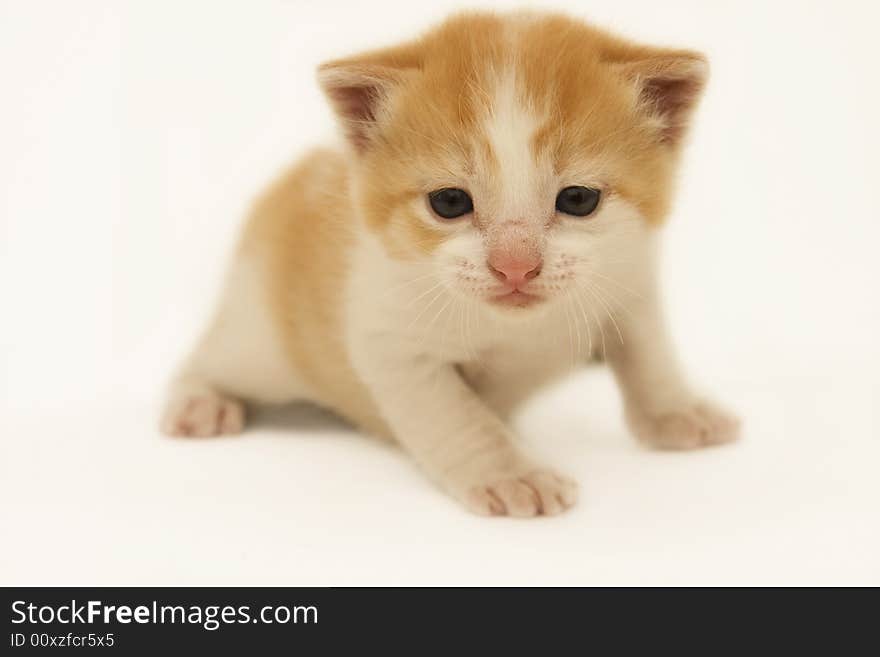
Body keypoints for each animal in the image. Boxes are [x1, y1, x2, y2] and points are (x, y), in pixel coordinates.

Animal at [162, 7, 740, 516]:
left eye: (578, 199)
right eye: (449, 202)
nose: (515, 267)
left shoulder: (632, 277)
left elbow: (649, 350)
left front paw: (678, 412)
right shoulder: (390, 337)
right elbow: (455, 415)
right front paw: (511, 475)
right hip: (259, 339)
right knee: (212, 358)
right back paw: (199, 401)